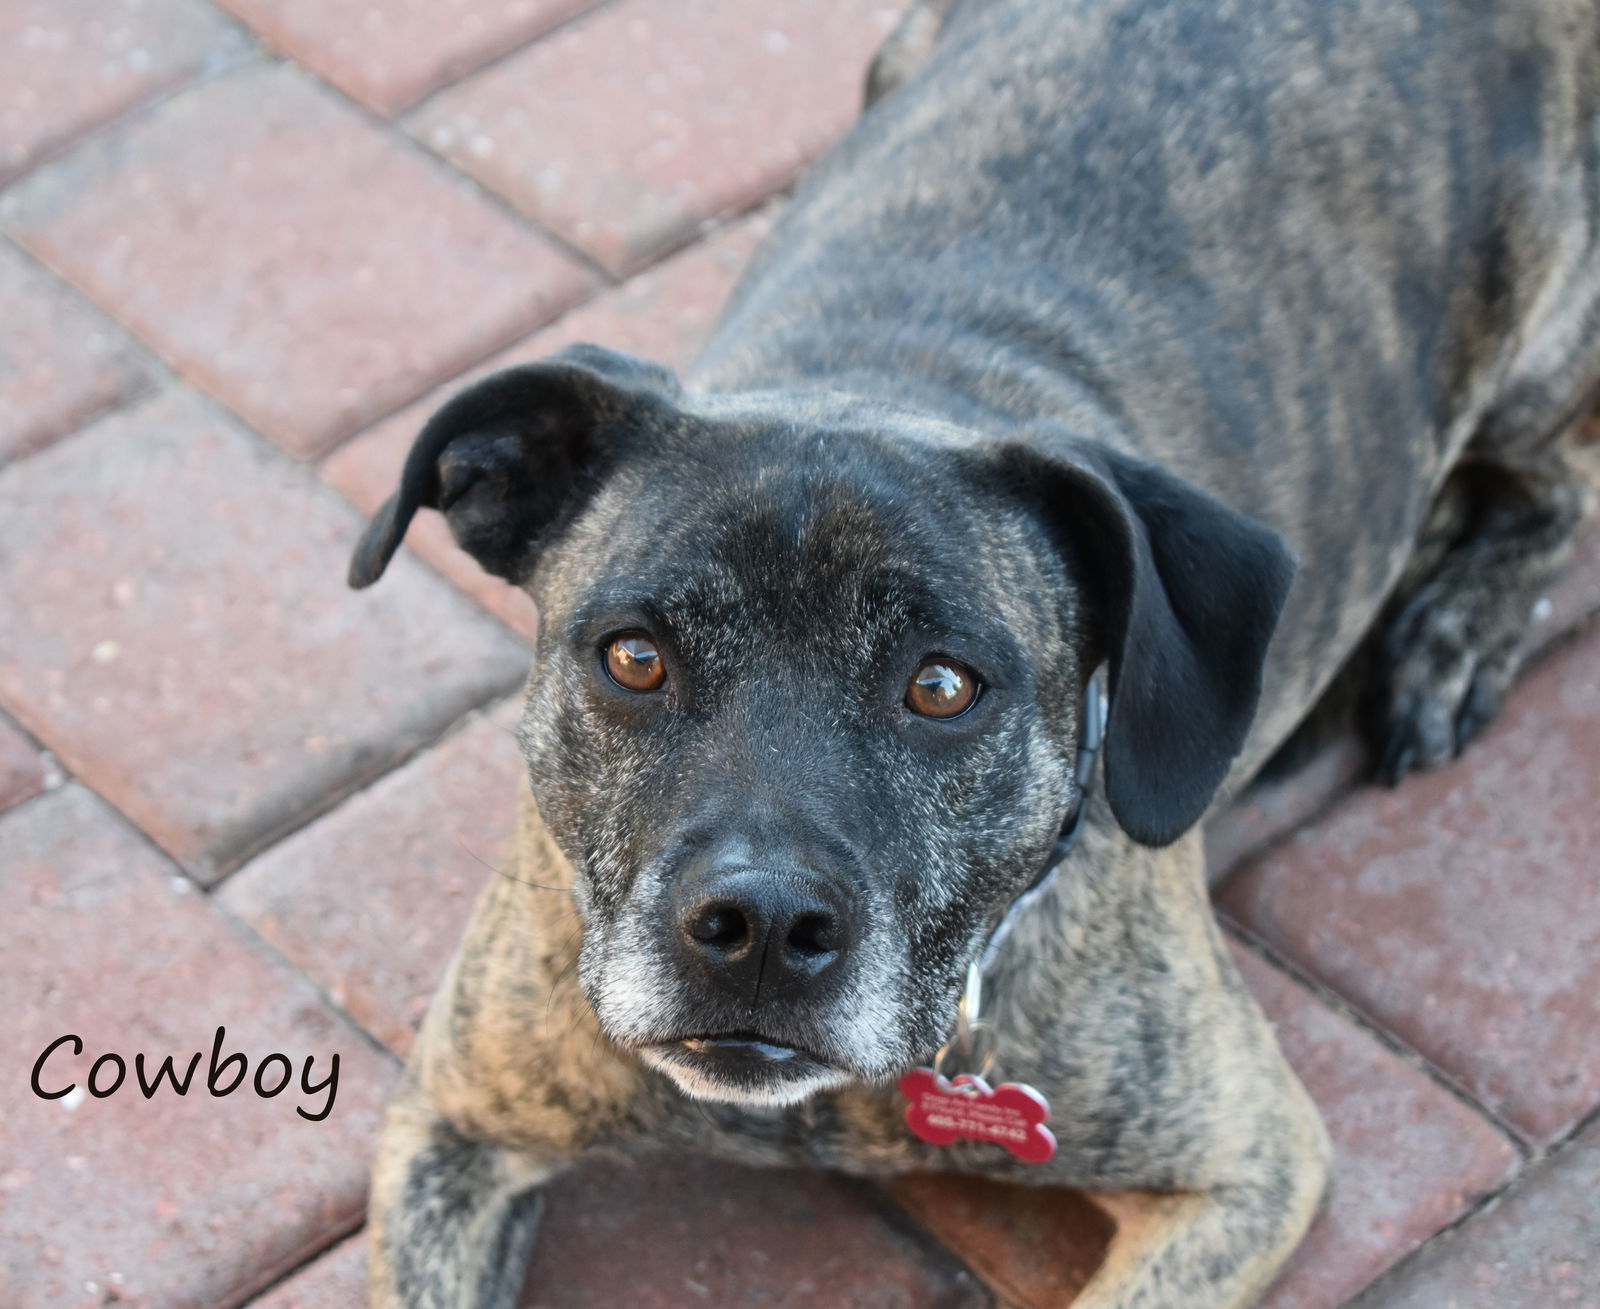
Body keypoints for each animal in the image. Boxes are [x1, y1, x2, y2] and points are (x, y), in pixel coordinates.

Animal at [350, 5, 1600, 1299]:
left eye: (941, 686)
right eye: (635, 658)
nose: (761, 927)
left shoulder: (1247, 1164)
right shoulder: (448, 1122)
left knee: (1558, 482)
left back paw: (1446, 636)